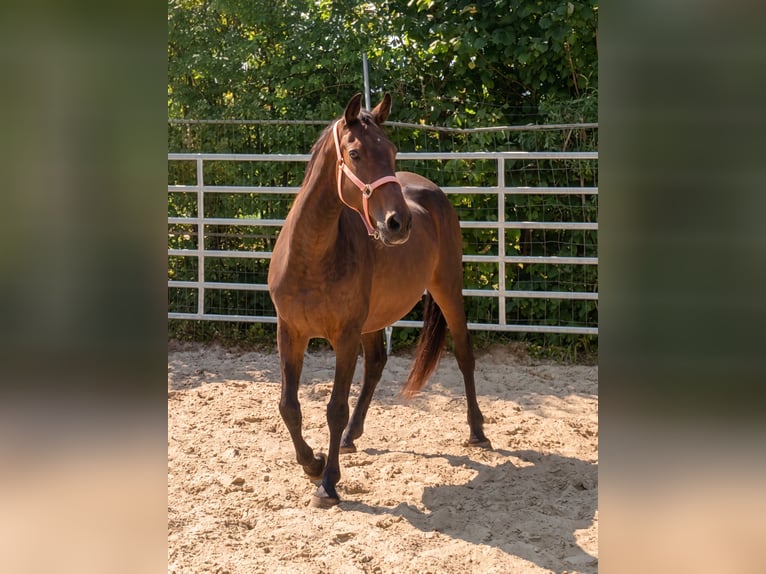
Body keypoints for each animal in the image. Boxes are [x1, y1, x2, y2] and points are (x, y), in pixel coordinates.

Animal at [267, 93, 491, 508]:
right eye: (355, 153)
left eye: (392, 150)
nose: (398, 223)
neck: (311, 257)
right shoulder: (290, 332)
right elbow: (289, 406)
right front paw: (312, 463)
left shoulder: (344, 337)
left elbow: (335, 408)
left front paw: (328, 482)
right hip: (373, 320)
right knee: (375, 364)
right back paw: (352, 436)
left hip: (448, 289)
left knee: (464, 354)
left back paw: (477, 431)